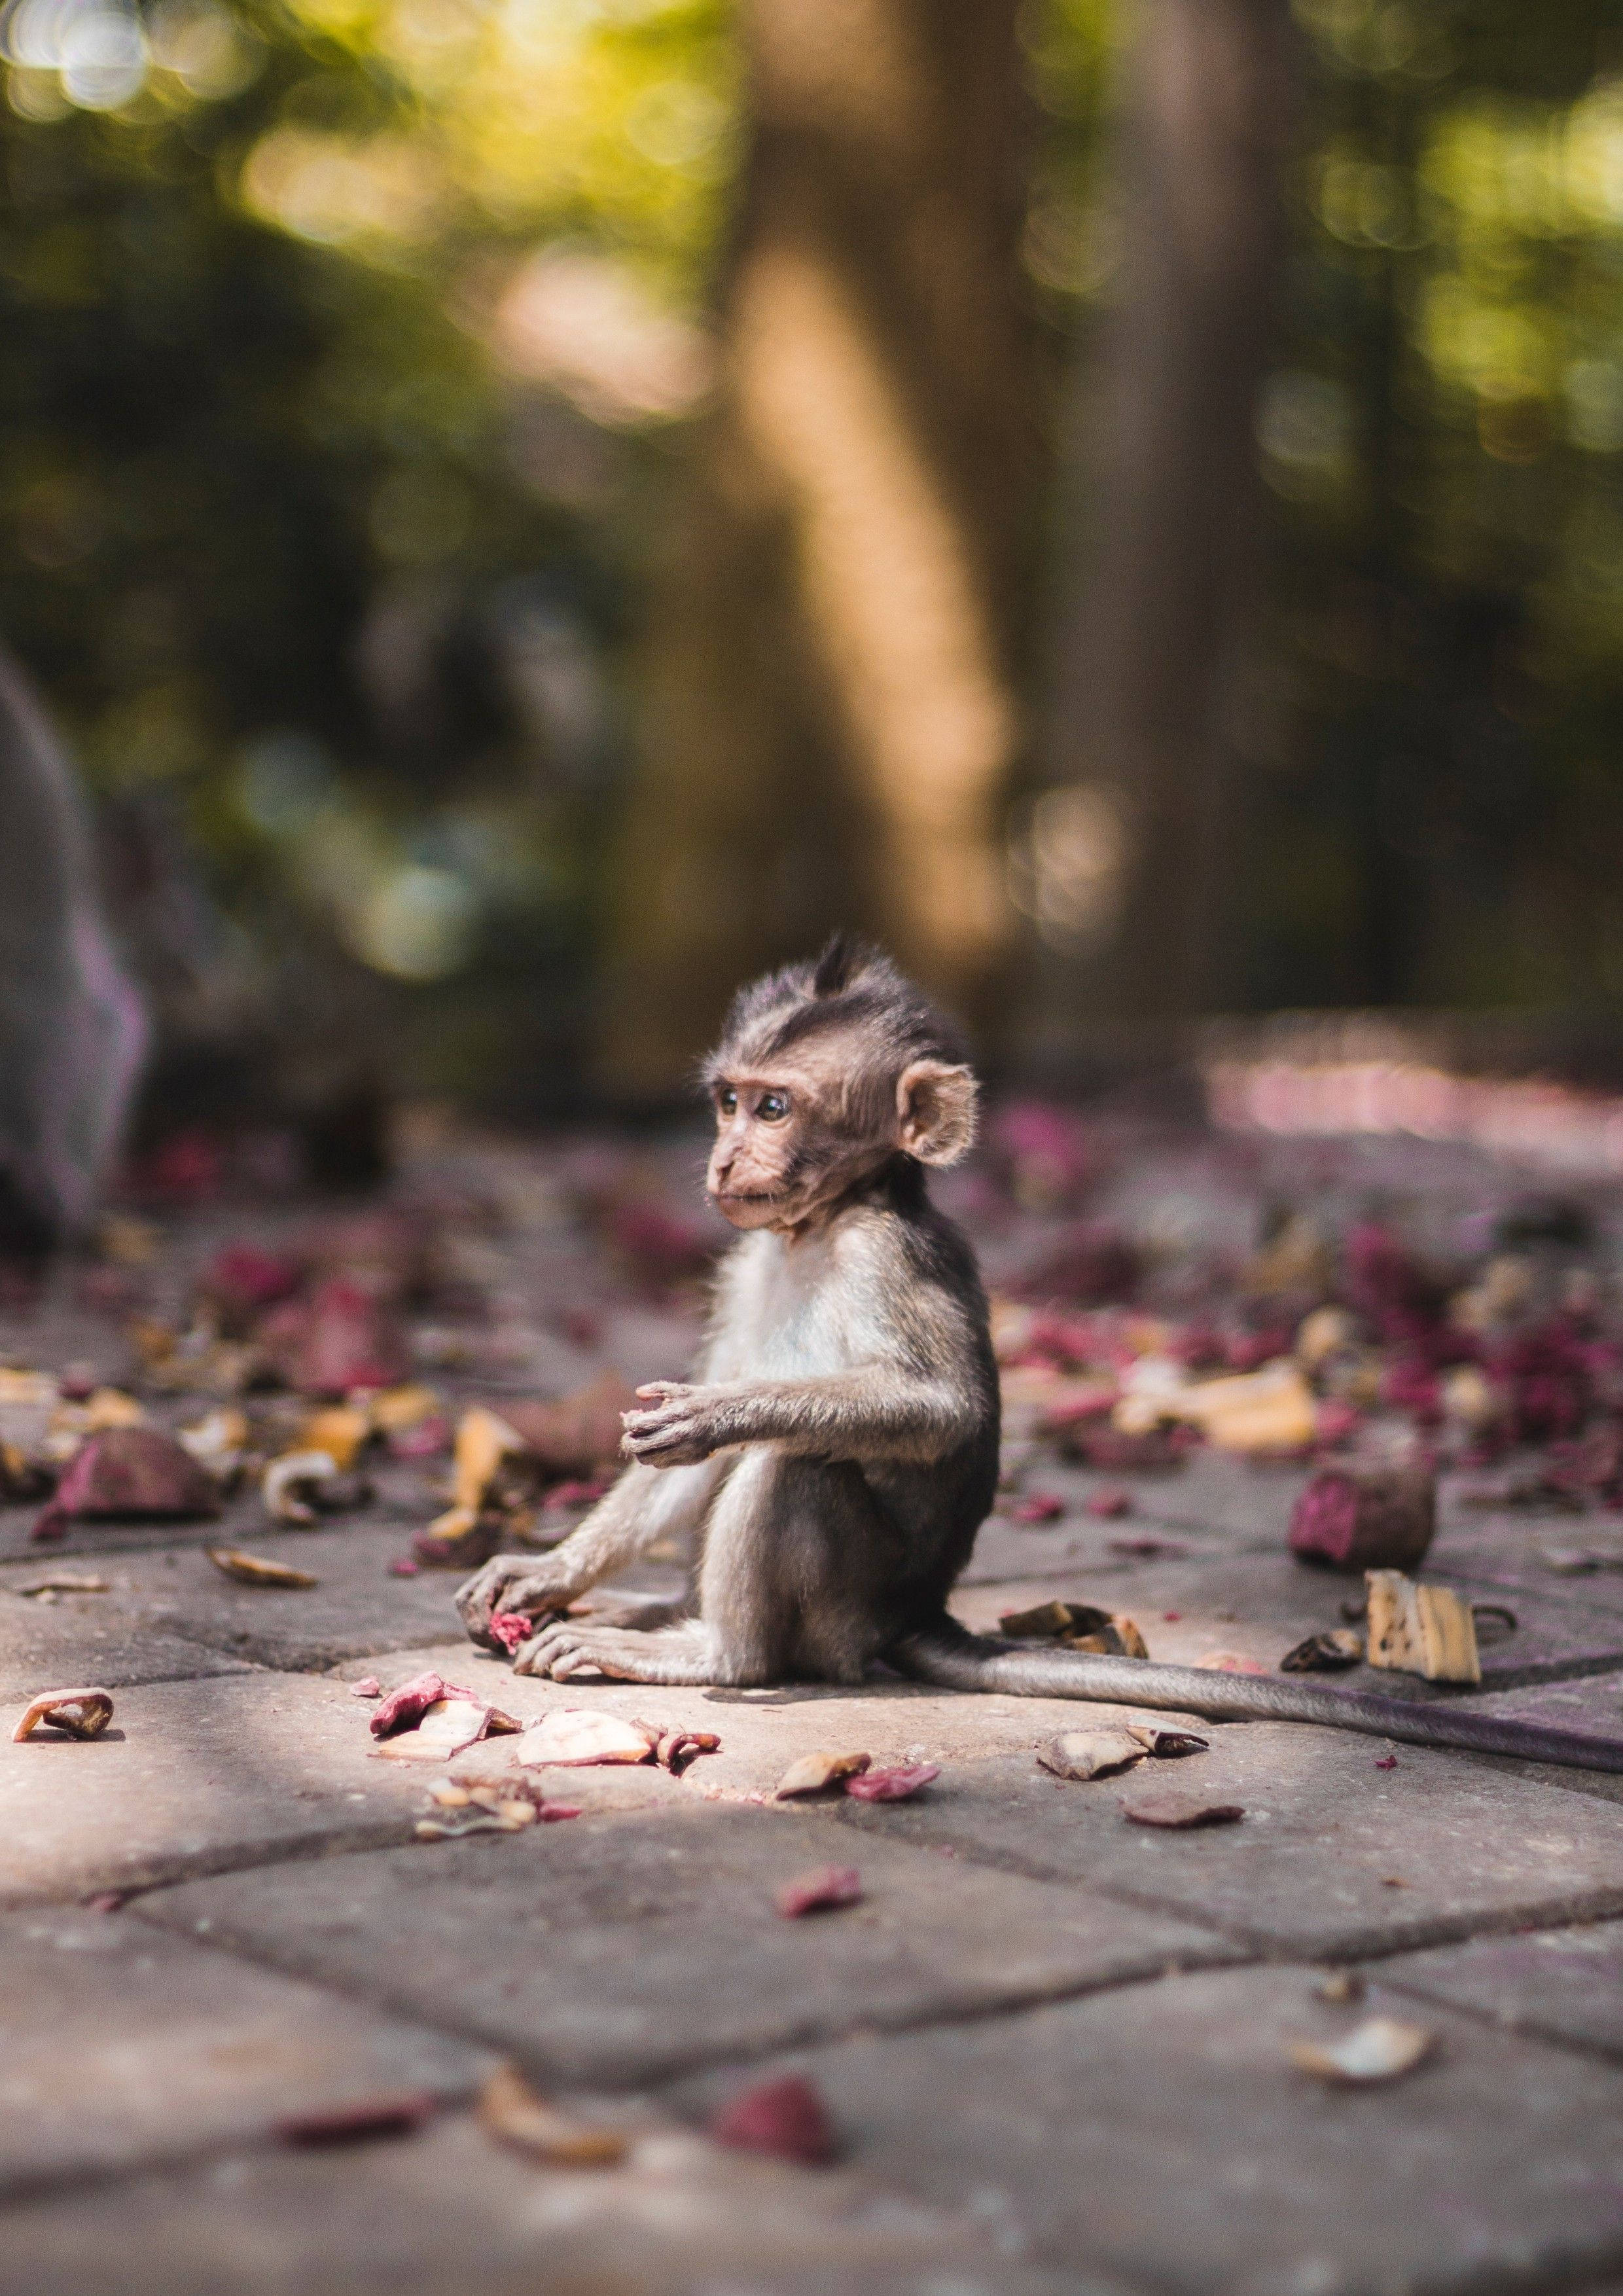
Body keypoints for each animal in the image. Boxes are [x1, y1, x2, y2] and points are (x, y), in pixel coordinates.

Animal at [457, 937, 1623, 1778]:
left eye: (776, 1107)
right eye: (728, 1101)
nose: (724, 1158)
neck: (824, 1224)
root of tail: (918, 1610)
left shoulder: (890, 1257)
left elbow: (938, 1411)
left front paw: (721, 1414)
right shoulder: (748, 1260)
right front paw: (548, 1567)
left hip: (849, 1606)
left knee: (795, 1469)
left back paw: (707, 1651)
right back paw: (646, 1610)